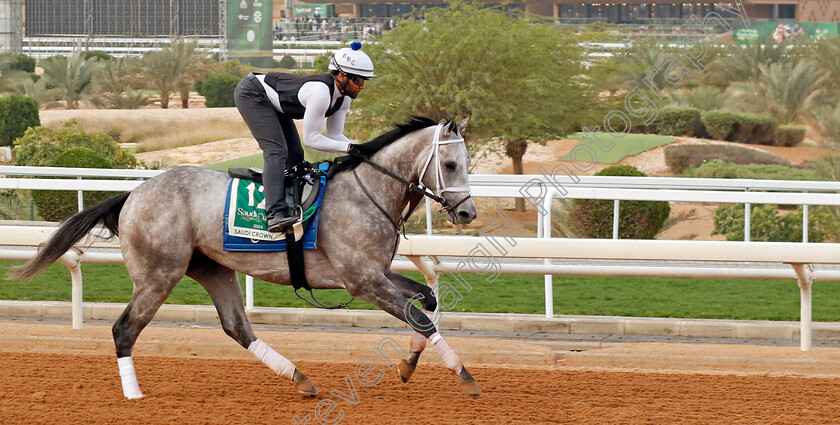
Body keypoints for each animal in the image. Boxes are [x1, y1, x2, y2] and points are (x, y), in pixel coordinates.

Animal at [11, 115, 480, 398]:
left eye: (467, 162)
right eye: (451, 164)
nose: (468, 213)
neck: (368, 191)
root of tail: (132, 195)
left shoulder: (377, 274)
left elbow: (427, 302)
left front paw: (407, 364)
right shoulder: (362, 279)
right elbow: (420, 316)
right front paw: (465, 376)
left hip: (213, 269)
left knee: (237, 327)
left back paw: (300, 377)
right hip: (158, 275)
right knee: (124, 329)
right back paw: (134, 395)